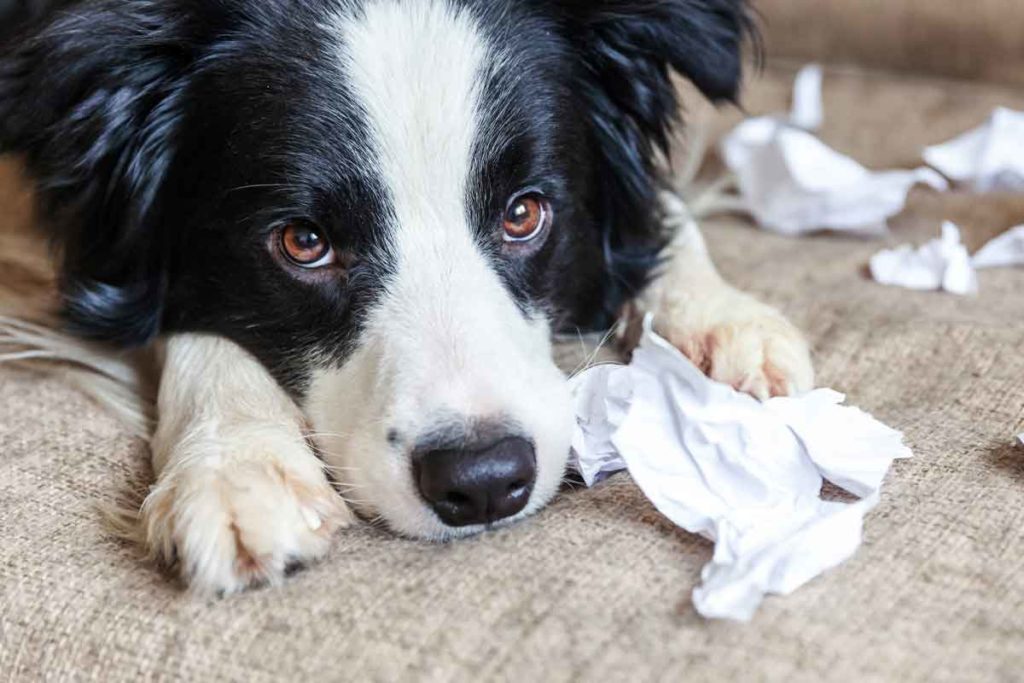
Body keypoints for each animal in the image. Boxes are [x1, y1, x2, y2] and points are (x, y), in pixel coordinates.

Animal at [2, 0, 815, 593]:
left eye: (525, 213)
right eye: (303, 241)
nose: (483, 482)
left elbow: (656, 204)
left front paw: (724, 322)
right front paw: (236, 467)